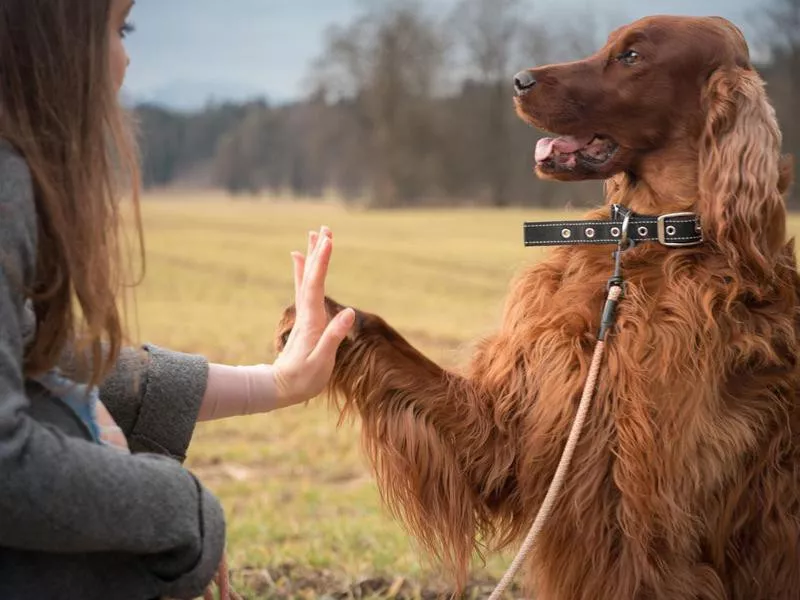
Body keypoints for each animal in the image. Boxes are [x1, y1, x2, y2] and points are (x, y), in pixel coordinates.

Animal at [276, 14, 800, 600]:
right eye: (608, 44)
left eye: (632, 56)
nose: (518, 80)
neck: (642, 244)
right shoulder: (514, 432)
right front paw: (318, 318)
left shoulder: (650, 526)